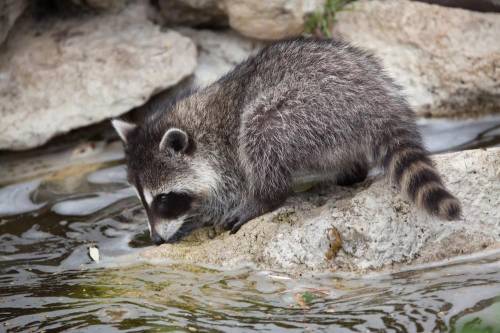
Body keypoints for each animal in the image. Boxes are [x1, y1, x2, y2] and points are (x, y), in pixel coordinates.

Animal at [112, 37, 460, 244]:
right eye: (143, 200)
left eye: (164, 199)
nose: (155, 240)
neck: (196, 122)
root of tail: (379, 102)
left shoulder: (226, 159)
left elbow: (227, 189)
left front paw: (200, 215)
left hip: (309, 107)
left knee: (261, 129)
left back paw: (265, 197)